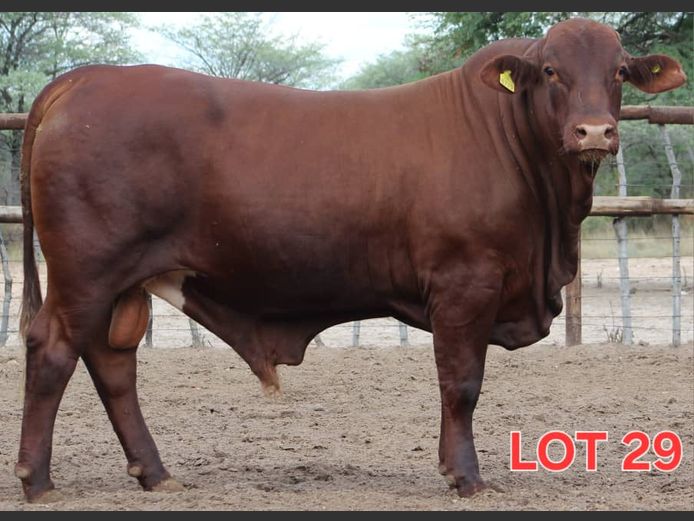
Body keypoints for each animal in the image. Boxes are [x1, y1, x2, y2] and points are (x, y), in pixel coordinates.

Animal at [15, 18, 685, 502]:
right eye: (551, 70)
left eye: (619, 71)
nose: (594, 132)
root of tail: (89, 78)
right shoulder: (465, 282)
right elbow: (462, 384)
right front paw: (465, 476)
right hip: (86, 270)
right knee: (54, 350)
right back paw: (37, 481)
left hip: (122, 280)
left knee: (112, 363)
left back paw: (154, 473)